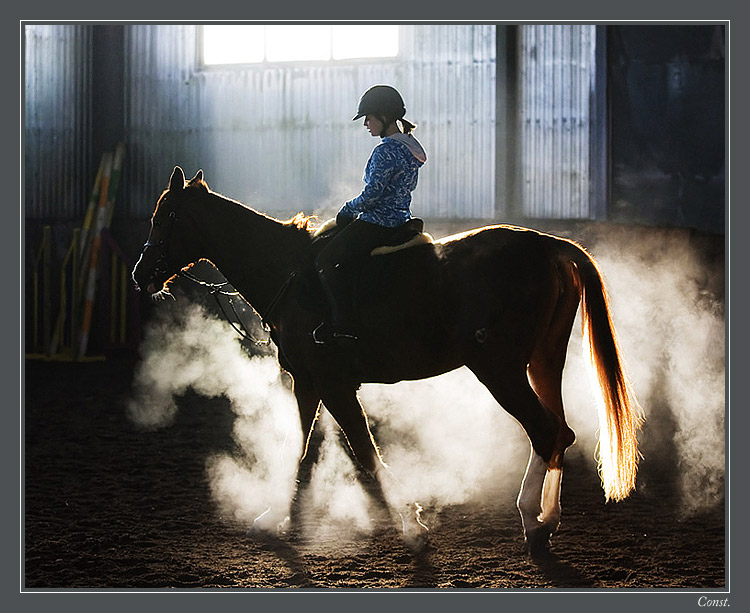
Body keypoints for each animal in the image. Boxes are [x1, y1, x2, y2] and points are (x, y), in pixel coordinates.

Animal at [131, 167, 648, 556]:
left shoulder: (333, 385)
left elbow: (364, 454)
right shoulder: (310, 383)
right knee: (560, 432)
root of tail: (547, 245)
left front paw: (412, 524)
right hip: (542, 364)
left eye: (165, 216)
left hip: (499, 371)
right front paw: (276, 516)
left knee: (544, 432)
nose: (140, 274)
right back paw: (548, 518)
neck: (290, 273)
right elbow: (302, 450)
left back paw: (532, 522)